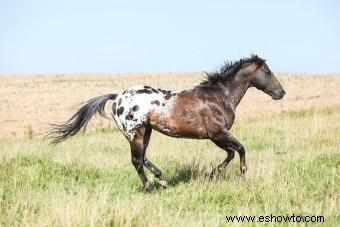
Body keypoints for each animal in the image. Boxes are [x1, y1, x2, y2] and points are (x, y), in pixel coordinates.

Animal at [49, 54, 286, 192]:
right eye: (267, 72)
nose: (281, 93)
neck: (219, 96)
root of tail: (117, 97)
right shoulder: (217, 133)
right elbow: (239, 150)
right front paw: (237, 174)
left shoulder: (217, 136)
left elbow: (231, 152)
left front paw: (213, 173)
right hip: (135, 133)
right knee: (136, 160)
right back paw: (150, 188)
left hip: (146, 132)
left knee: (143, 158)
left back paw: (162, 179)